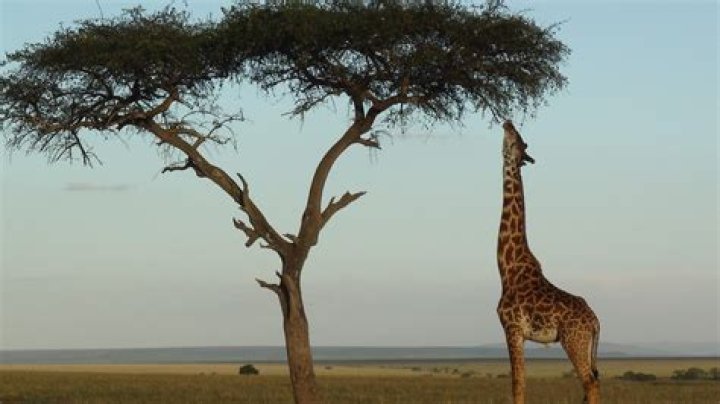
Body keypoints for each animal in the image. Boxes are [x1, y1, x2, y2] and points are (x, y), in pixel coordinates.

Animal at [496, 121, 601, 404]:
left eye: (519, 140)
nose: (507, 121)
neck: (506, 268)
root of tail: (595, 321)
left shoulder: (512, 328)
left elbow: (517, 384)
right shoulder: (519, 334)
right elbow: (520, 382)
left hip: (574, 341)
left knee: (590, 383)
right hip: (583, 344)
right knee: (593, 382)